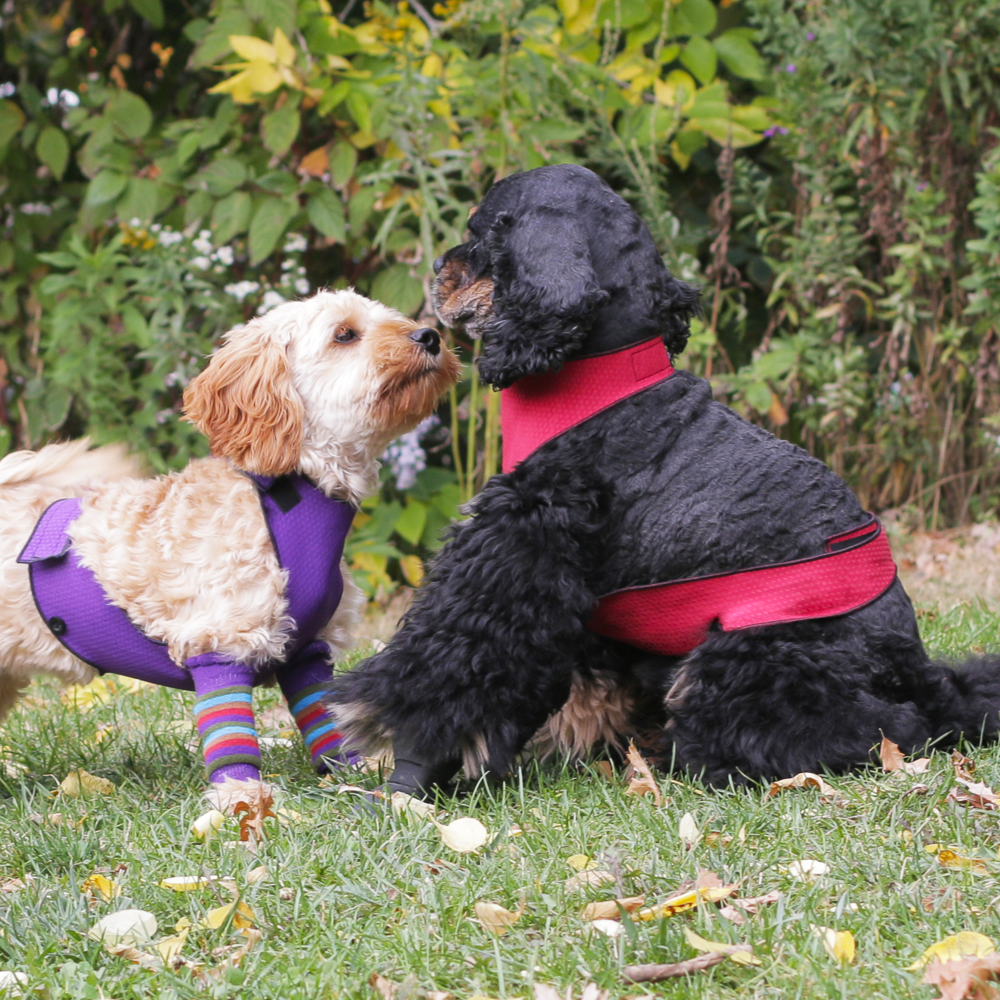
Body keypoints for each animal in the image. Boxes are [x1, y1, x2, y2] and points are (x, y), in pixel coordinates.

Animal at [332, 164, 1000, 792]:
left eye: (481, 230)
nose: (438, 267)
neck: (601, 373)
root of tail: (924, 675)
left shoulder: (516, 554)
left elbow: (447, 665)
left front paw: (407, 757)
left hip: (740, 665)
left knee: (877, 729)